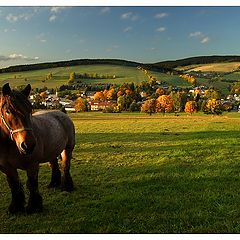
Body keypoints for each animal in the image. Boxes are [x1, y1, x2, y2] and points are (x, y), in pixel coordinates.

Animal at [0, 83, 75, 214]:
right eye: (8, 111)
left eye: (30, 110)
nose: (28, 145)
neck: (9, 145)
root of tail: (63, 114)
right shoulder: (7, 168)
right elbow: (14, 185)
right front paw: (16, 207)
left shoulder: (32, 165)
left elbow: (32, 184)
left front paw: (34, 206)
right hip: (52, 152)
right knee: (54, 165)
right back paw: (54, 183)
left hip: (68, 149)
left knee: (65, 166)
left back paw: (67, 186)